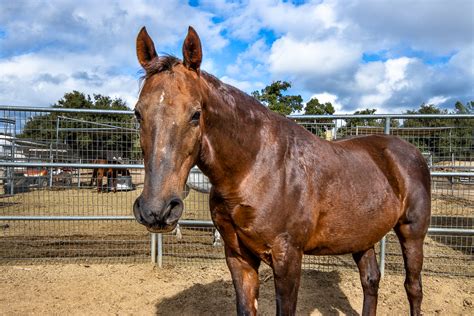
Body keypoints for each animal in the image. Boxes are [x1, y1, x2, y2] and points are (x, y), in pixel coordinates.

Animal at [131, 25, 432, 314]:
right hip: (362, 236)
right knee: (370, 281)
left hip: (412, 232)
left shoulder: (287, 258)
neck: (255, 169)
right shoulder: (239, 258)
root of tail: (412, 153)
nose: (156, 210)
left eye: (196, 114)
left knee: (413, 287)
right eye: (137, 113)